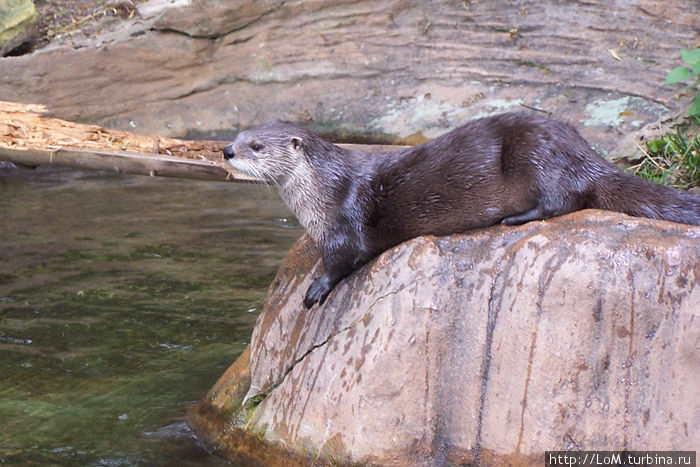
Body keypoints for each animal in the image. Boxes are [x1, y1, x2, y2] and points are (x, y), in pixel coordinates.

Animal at [223, 113, 700, 308]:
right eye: (238, 135)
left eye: (257, 146)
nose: (227, 151)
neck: (321, 191)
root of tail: (585, 150)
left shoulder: (344, 221)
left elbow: (343, 258)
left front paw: (316, 289)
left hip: (534, 154)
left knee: (564, 199)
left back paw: (516, 218)